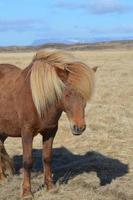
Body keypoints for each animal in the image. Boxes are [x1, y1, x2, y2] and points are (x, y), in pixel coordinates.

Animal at [0, 50, 97, 198]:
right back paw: (2, 178)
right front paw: (27, 192)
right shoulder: (27, 133)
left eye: (85, 96)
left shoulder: (50, 132)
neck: (38, 100)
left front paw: (50, 187)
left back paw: (3, 177)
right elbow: (27, 161)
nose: (79, 127)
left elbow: (47, 158)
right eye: (67, 94)